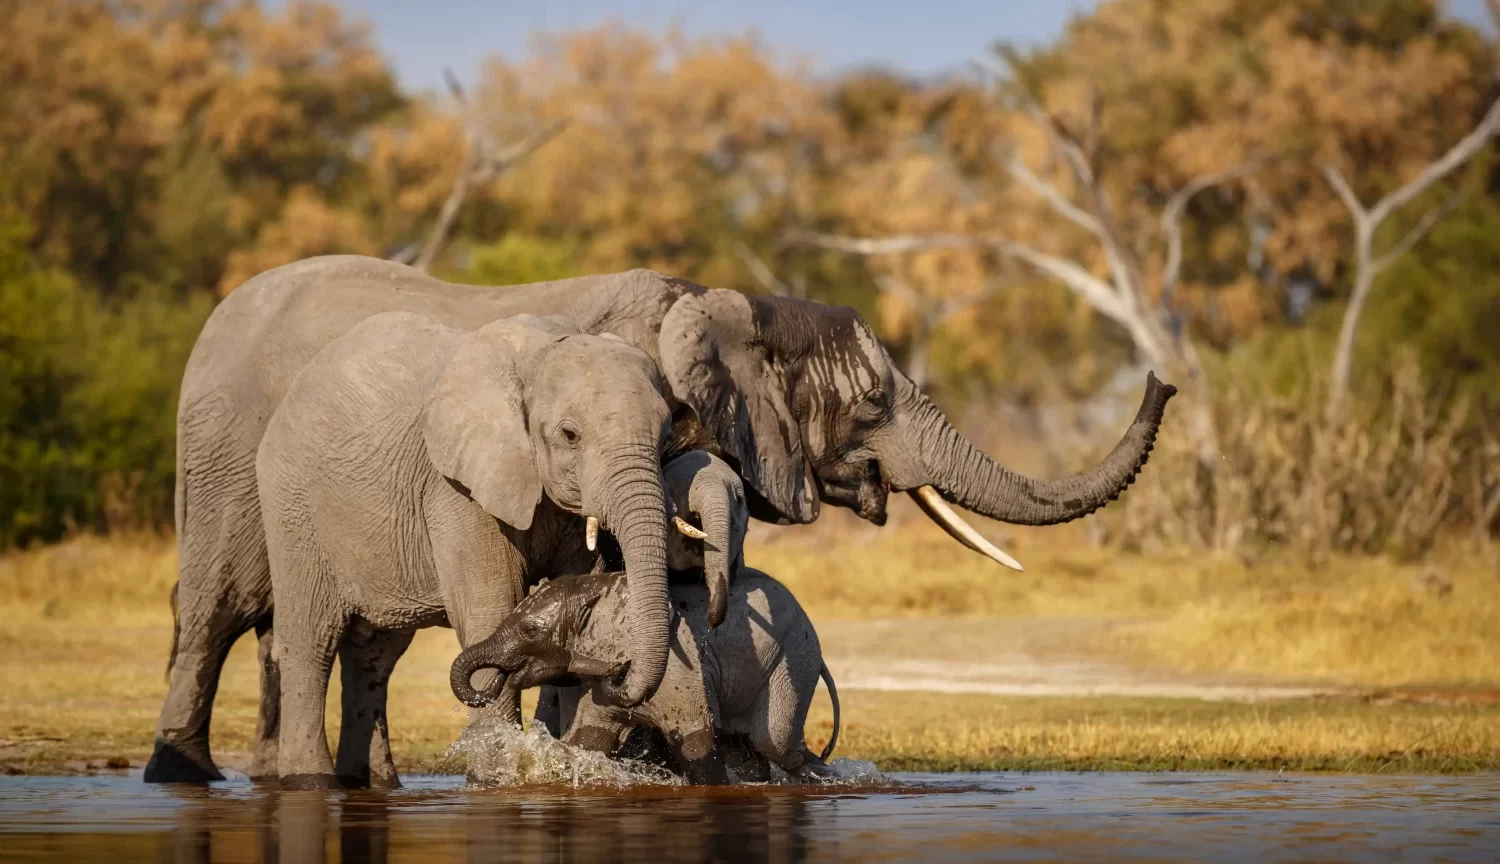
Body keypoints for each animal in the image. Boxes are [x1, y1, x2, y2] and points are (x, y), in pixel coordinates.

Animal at [254, 310, 688, 789]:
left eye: (666, 436)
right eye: (570, 435)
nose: (620, 673)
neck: (539, 355)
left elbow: (572, 595)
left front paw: (562, 767)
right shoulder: (455, 490)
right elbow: (489, 606)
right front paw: (498, 778)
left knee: (374, 655)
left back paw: (376, 783)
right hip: (293, 507)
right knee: (310, 640)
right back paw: (310, 782)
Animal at [451, 567, 840, 785]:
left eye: (530, 631)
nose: (501, 677)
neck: (597, 589)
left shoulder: (679, 667)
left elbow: (697, 743)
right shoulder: (595, 683)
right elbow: (588, 742)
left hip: (794, 658)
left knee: (774, 742)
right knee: (749, 747)